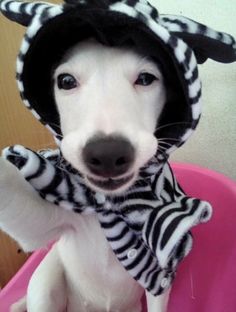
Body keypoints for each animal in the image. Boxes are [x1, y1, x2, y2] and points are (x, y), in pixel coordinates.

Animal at [1, 40, 168, 310]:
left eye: (145, 78)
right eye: (66, 81)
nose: (108, 154)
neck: (110, 206)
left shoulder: (158, 273)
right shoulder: (45, 217)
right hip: (45, 285)